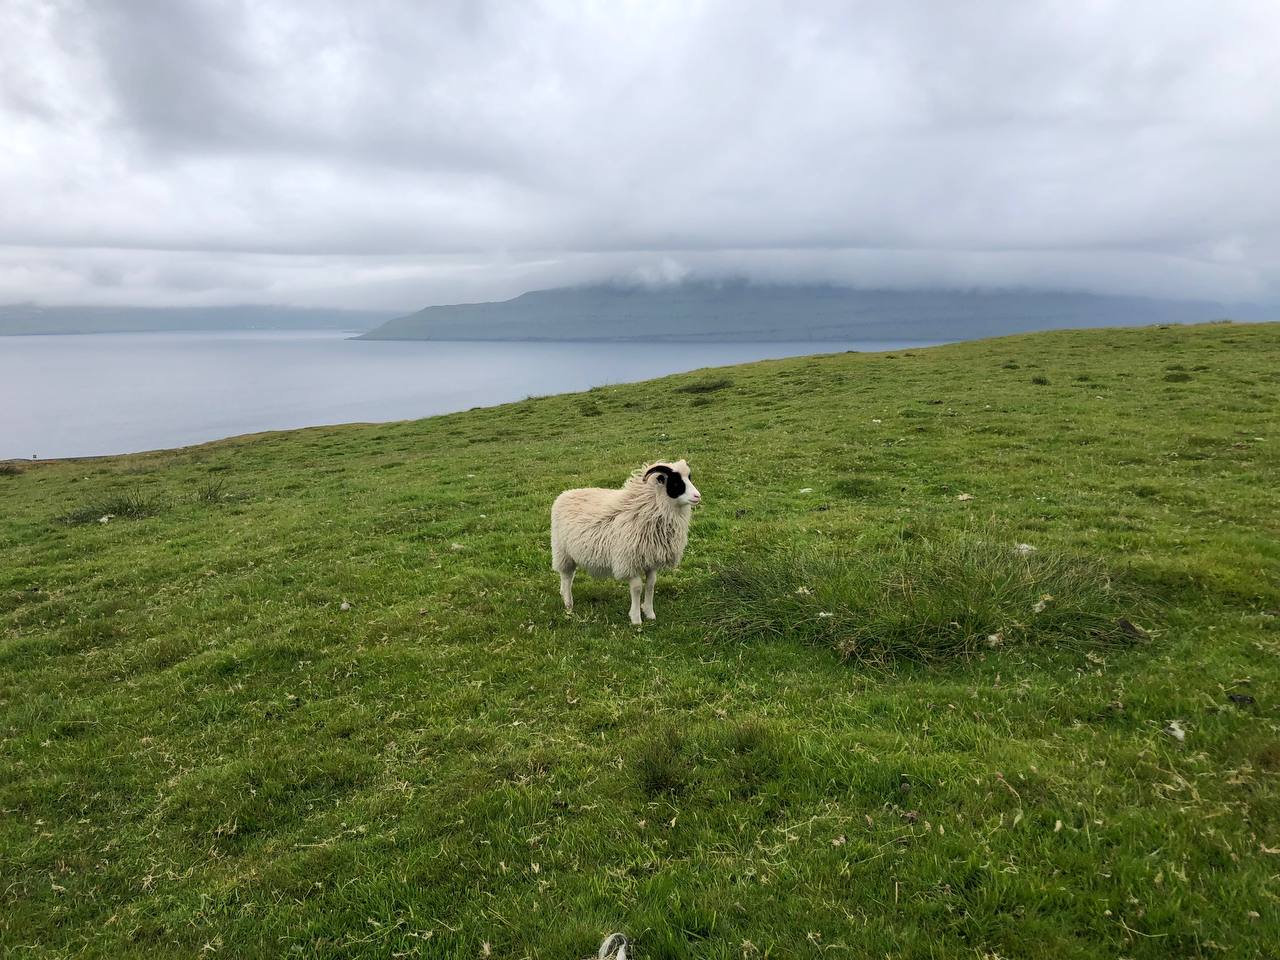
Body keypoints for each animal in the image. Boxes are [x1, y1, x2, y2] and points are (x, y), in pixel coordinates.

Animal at [552, 460, 706, 627]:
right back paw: (568, 603)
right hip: (562, 551)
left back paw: (563, 594)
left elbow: (651, 584)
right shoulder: (629, 561)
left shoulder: (651, 559)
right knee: (566, 576)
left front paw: (649, 613)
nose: (698, 496)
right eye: (676, 482)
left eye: (689, 477)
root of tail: (565, 494)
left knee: (569, 575)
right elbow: (637, 588)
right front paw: (636, 619)